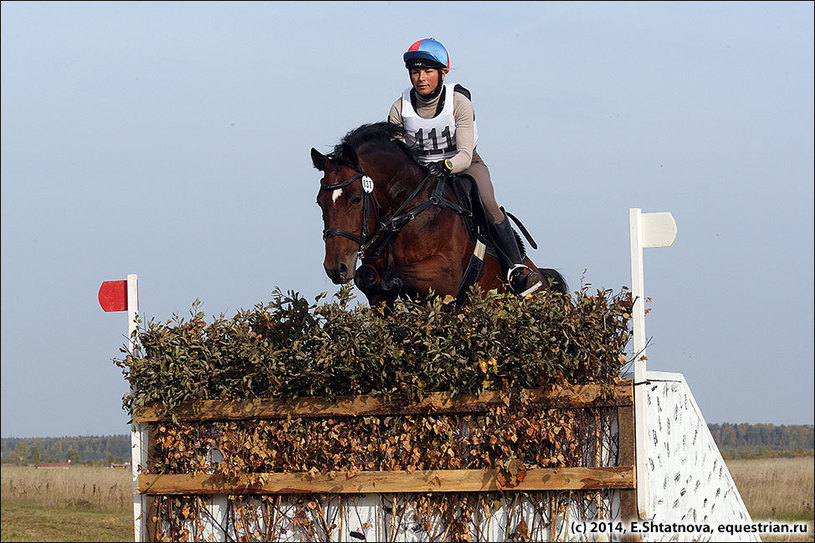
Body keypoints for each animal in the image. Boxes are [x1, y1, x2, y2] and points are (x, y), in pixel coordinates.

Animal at [310, 123, 564, 308]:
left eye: (355, 199)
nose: (336, 268)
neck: (407, 212)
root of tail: (542, 277)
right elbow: (367, 277)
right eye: (320, 202)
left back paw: (523, 279)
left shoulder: (446, 275)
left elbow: (392, 277)